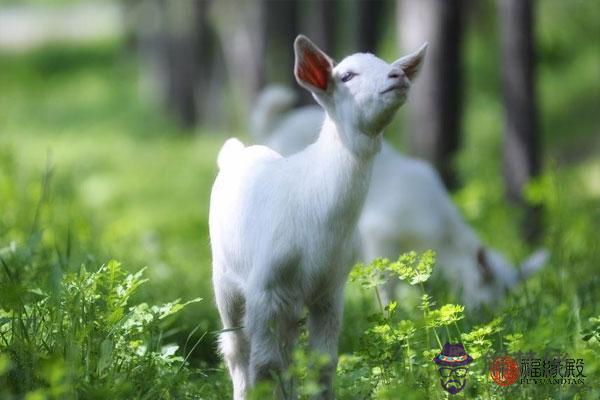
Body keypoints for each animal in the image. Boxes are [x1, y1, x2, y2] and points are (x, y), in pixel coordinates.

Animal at [211, 36, 426, 398]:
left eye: (387, 64)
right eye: (347, 76)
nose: (398, 76)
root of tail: (236, 152)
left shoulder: (330, 288)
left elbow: (322, 363)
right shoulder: (264, 288)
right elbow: (265, 366)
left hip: (290, 304)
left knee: (287, 350)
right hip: (224, 279)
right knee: (236, 350)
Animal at [248, 85, 548, 306]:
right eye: (484, 294)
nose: (484, 316)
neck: (441, 231)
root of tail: (276, 125)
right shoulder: (379, 233)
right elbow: (384, 280)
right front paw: (388, 311)